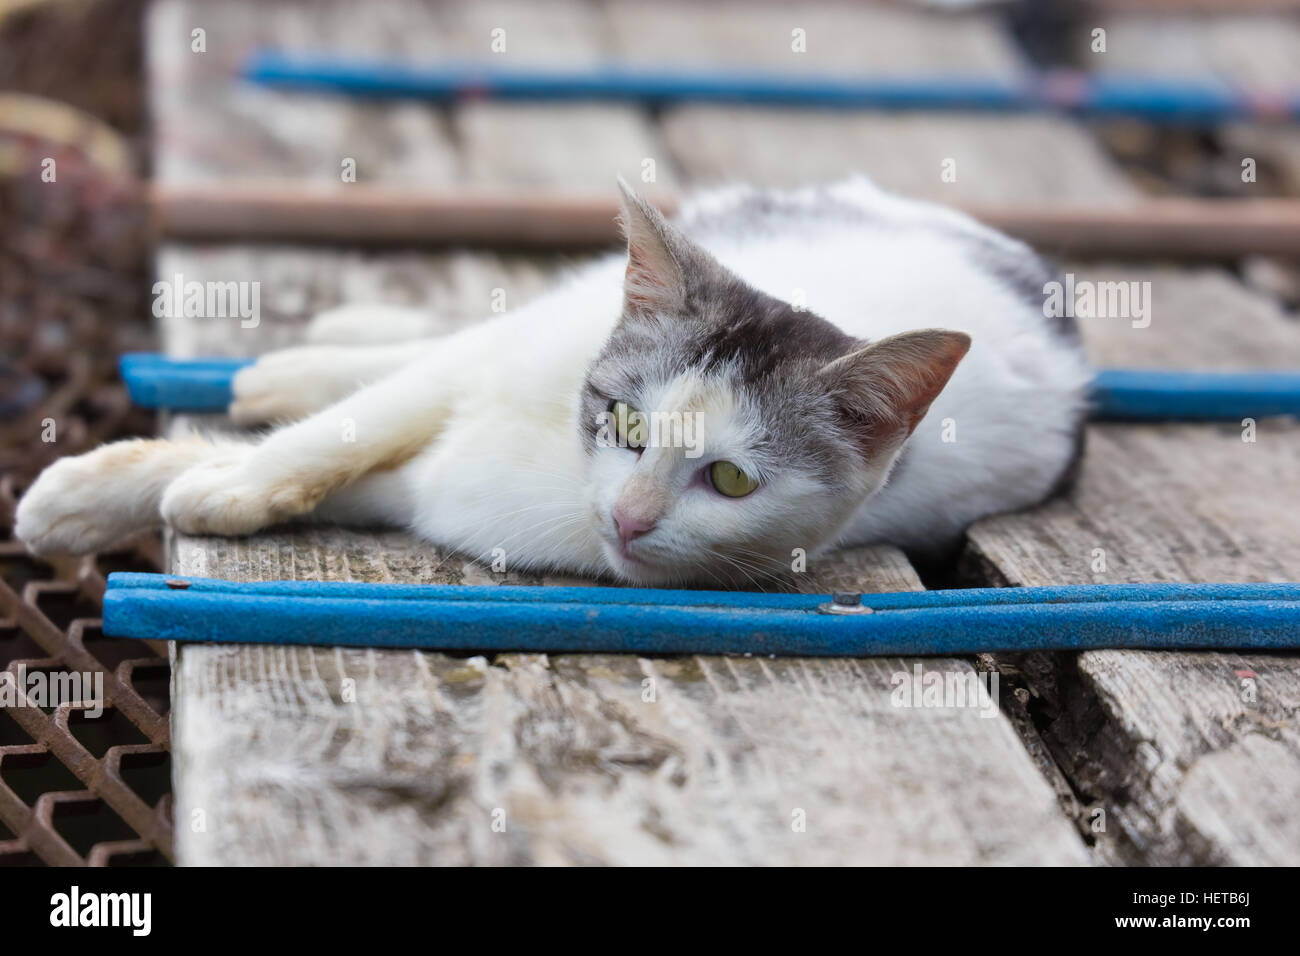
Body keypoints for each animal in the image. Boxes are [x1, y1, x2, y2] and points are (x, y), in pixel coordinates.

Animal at [15, 175, 1092, 587]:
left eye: (731, 479)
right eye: (623, 420)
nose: (628, 519)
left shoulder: (442, 494)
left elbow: (366, 471)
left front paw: (188, 485)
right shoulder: (499, 365)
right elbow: (351, 428)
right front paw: (119, 489)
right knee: (445, 342)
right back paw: (316, 355)